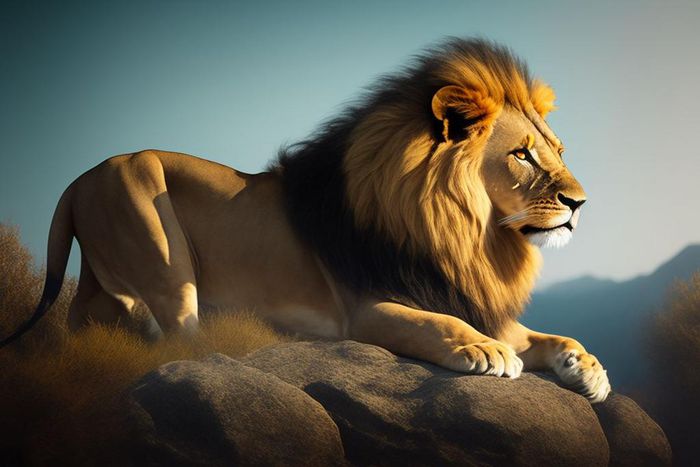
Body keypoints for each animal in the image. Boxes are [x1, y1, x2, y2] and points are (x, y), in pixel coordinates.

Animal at [1, 38, 610, 402]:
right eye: (522, 155)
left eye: (558, 150)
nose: (580, 203)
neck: (471, 238)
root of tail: (77, 181)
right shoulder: (367, 309)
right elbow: (438, 324)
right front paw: (484, 351)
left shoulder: (475, 299)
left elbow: (552, 336)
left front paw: (589, 368)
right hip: (150, 223)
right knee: (178, 343)